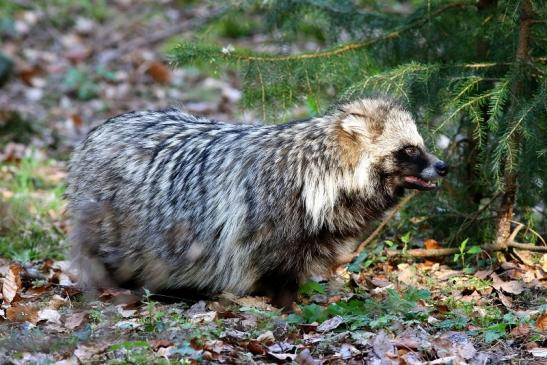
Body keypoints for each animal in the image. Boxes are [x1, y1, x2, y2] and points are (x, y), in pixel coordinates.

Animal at [66, 98, 448, 306]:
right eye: (409, 150)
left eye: (420, 144)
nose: (443, 166)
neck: (318, 173)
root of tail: (94, 134)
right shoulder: (271, 212)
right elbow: (269, 263)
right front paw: (283, 302)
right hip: (115, 217)